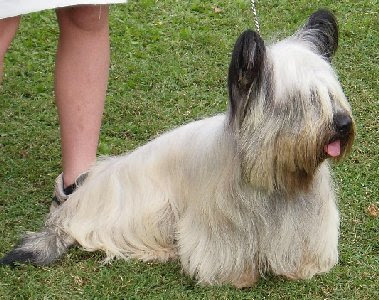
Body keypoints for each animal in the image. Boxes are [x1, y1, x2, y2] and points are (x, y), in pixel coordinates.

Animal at [0, 10, 356, 288]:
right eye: (304, 100)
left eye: (332, 94)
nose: (342, 124)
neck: (272, 173)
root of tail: (70, 209)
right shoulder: (221, 225)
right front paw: (237, 279)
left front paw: (302, 269)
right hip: (148, 208)